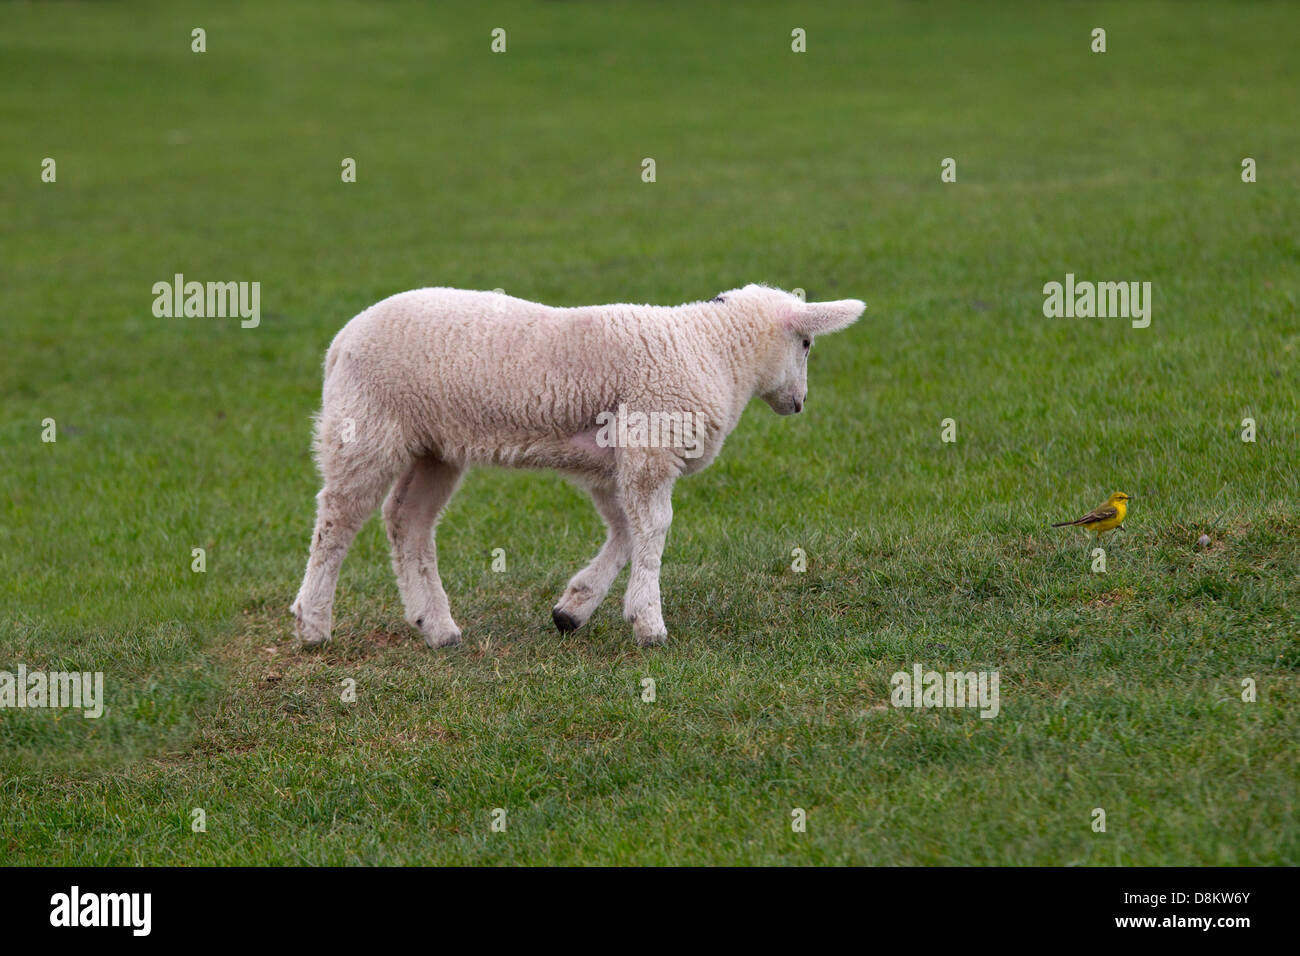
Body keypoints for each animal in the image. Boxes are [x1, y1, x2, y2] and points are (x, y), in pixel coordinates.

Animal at [293, 280, 863, 647]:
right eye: (806, 343)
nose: (799, 404)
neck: (711, 348)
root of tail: (339, 343)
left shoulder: (615, 462)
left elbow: (626, 530)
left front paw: (573, 608)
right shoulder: (649, 443)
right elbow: (654, 527)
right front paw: (649, 624)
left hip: (434, 447)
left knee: (406, 522)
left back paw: (435, 627)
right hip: (364, 430)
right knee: (336, 520)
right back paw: (313, 623)